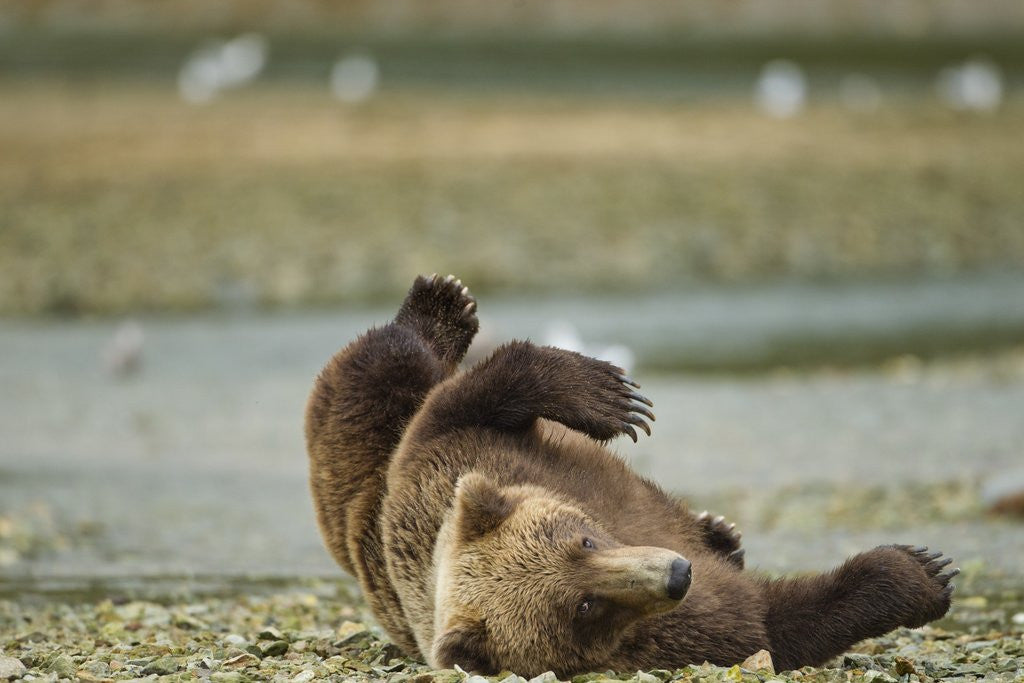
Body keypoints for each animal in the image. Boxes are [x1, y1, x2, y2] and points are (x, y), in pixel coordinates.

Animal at [305, 274, 957, 678]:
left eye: (584, 539)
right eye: (583, 608)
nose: (677, 573)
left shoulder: (450, 453)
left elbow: (479, 395)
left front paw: (611, 397)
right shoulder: (672, 635)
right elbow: (775, 622)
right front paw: (920, 573)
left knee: (390, 367)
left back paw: (441, 305)